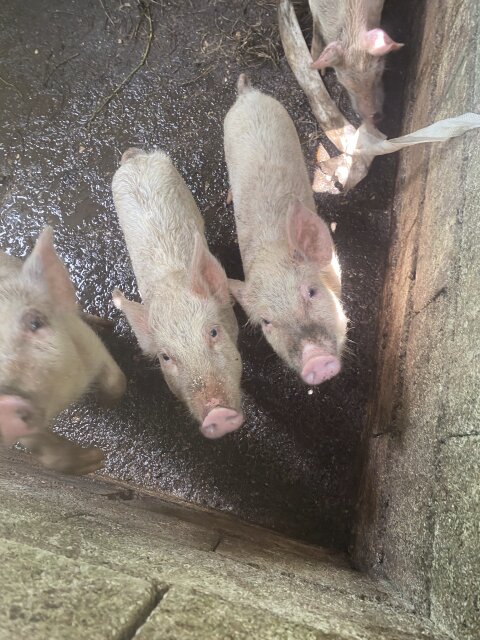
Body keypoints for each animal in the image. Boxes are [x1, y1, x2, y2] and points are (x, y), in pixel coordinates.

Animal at [0, 227, 126, 474]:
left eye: (35, 322)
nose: (4, 400)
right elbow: (49, 454)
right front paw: (96, 460)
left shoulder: (87, 339)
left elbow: (115, 379)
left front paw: (106, 405)